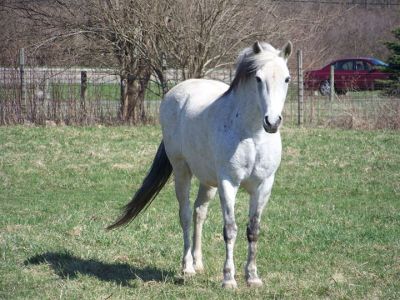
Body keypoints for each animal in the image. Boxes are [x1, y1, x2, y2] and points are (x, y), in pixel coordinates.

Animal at [108, 41, 292, 288]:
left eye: (287, 78)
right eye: (258, 79)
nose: (272, 122)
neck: (251, 134)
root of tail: (177, 91)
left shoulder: (264, 185)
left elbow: (253, 230)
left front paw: (252, 277)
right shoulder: (228, 183)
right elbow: (230, 229)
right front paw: (228, 279)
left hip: (208, 182)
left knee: (199, 213)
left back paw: (198, 263)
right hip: (182, 172)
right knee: (185, 214)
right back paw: (187, 267)